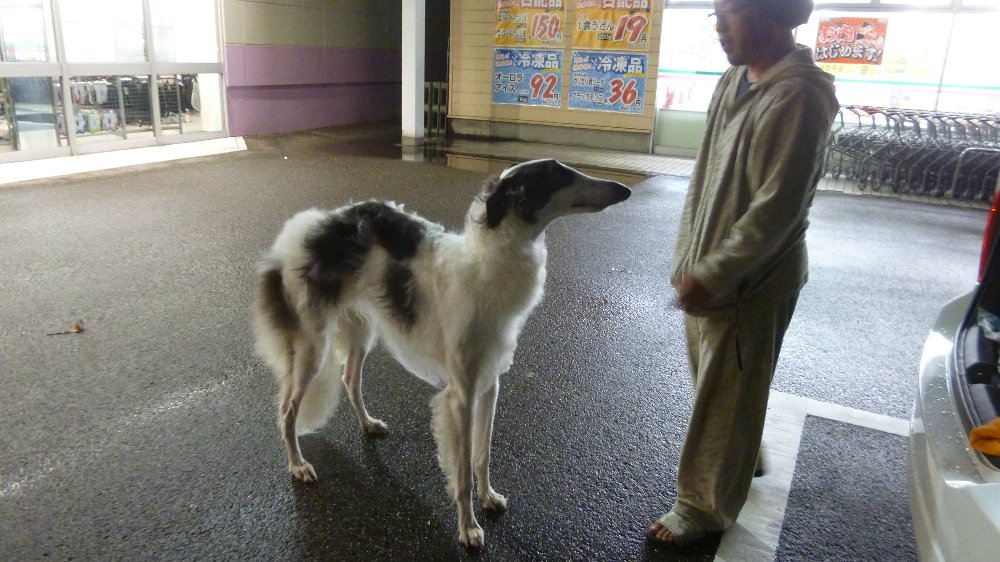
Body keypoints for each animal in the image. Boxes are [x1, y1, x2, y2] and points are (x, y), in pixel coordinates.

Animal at [256, 158, 632, 548]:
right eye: (558, 174)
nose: (625, 190)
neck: (485, 264)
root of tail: (307, 227)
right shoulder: (461, 394)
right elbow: (463, 468)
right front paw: (468, 528)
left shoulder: (490, 383)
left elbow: (482, 454)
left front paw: (488, 498)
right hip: (311, 347)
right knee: (286, 410)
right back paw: (298, 465)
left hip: (360, 331)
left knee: (349, 378)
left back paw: (367, 423)